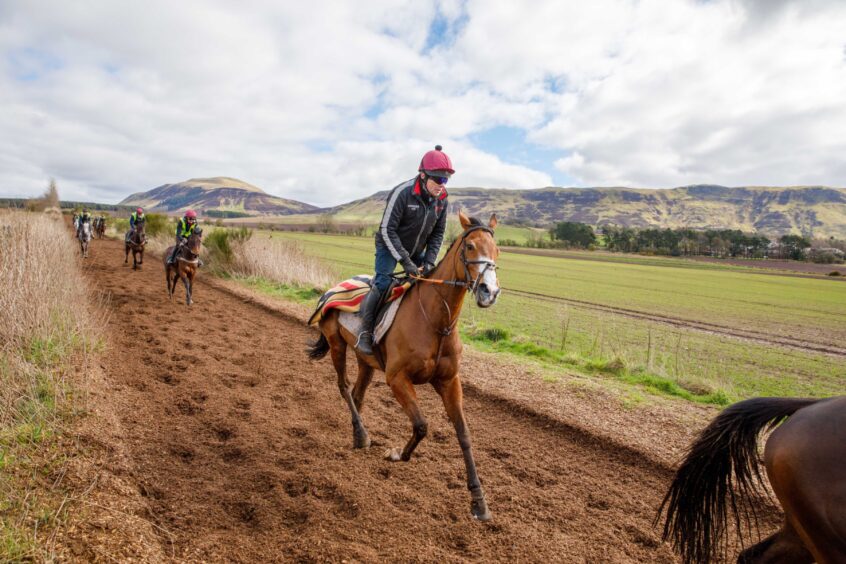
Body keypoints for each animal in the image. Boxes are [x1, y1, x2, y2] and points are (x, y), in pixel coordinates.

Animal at [308, 214, 500, 524]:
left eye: (497, 250)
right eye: (470, 246)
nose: (489, 291)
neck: (436, 322)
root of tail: (333, 288)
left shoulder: (449, 381)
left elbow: (464, 434)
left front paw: (479, 501)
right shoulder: (397, 378)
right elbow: (421, 425)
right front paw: (396, 454)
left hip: (366, 361)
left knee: (358, 394)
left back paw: (358, 434)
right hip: (336, 343)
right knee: (344, 387)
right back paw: (362, 435)